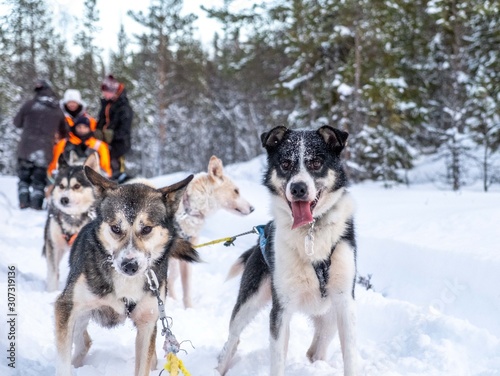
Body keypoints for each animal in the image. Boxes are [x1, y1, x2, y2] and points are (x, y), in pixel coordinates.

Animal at [44, 153, 100, 290]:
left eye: (77, 186)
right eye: (61, 186)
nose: (64, 199)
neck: (73, 218)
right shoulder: (53, 245)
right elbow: (53, 273)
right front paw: (51, 291)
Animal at [55, 168, 201, 376]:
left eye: (146, 228)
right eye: (116, 228)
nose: (129, 265)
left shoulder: (147, 323)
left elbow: (143, 366)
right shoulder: (66, 308)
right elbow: (63, 363)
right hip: (79, 315)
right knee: (84, 342)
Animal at [217, 126, 358, 376]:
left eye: (316, 162)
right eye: (285, 163)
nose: (298, 188)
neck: (310, 232)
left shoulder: (344, 303)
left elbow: (350, 357)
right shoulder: (280, 309)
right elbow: (277, 361)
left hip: (331, 318)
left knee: (315, 350)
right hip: (250, 303)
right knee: (232, 339)